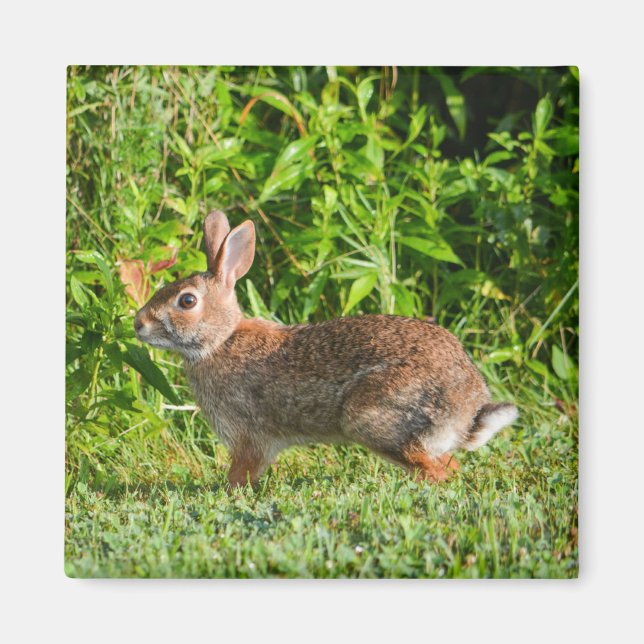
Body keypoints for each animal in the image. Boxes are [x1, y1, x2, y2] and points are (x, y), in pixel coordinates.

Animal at [134, 210, 518, 488]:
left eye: (187, 301)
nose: (139, 324)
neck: (220, 341)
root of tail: (467, 410)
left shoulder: (249, 437)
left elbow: (242, 472)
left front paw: (228, 493)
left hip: (373, 419)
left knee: (437, 470)